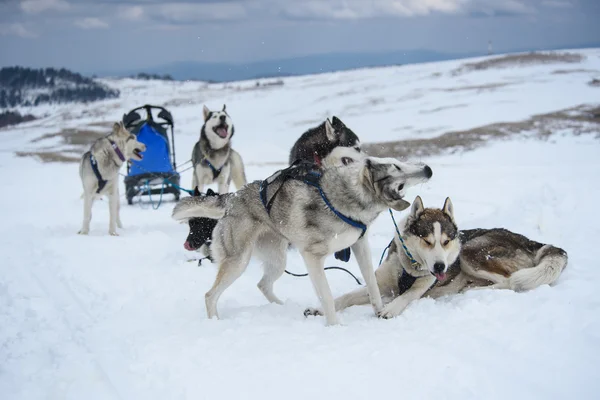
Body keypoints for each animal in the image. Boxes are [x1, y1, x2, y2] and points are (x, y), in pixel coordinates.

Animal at [172, 156, 432, 324]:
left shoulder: (360, 245)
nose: (428, 169)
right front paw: (335, 327)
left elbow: (372, 286)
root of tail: (233, 197)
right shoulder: (312, 257)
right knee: (210, 295)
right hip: (238, 262)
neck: (340, 199)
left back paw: (281, 307)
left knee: (263, 284)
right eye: (396, 166)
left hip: (277, 261)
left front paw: (378, 312)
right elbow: (326, 297)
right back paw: (215, 321)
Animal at [308, 196, 568, 318]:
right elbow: (346, 297)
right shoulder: (382, 285)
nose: (441, 266)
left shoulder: (421, 286)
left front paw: (391, 309)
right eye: (427, 241)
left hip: (471, 251)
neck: (410, 266)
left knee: (510, 282)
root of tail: (527, 239)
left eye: (445, 241)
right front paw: (321, 309)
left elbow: (407, 295)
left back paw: (473, 290)